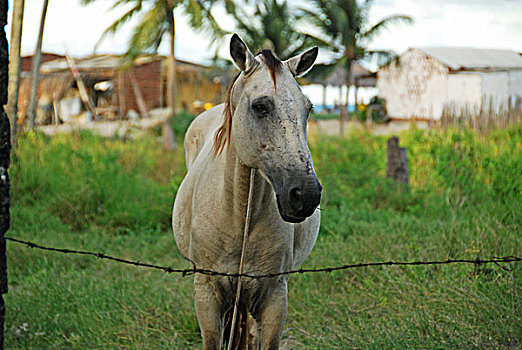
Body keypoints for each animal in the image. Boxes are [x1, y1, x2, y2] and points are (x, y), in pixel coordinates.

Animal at [174, 33, 320, 350]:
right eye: (260, 107)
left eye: (308, 108)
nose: (306, 195)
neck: (240, 213)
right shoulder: (206, 294)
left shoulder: (275, 296)